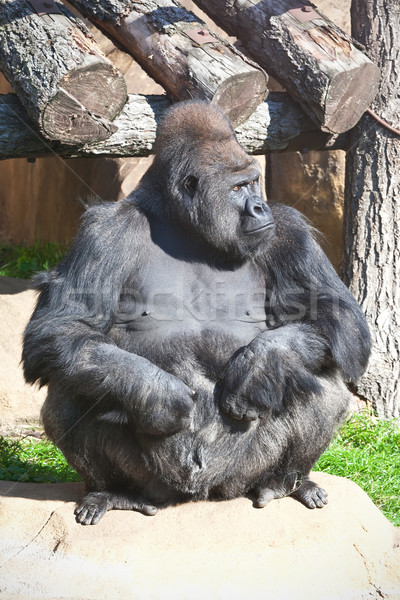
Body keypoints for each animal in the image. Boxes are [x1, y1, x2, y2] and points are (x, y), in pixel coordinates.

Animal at [23, 102, 370, 524]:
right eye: (237, 188)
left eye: (255, 182)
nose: (260, 206)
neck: (188, 228)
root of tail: (201, 493)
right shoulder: (104, 231)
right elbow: (61, 326)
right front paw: (157, 393)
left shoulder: (287, 229)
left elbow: (338, 318)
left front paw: (259, 365)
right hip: (157, 483)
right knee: (73, 378)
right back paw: (114, 491)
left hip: (238, 476)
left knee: (322, 375)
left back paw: (284, 482)